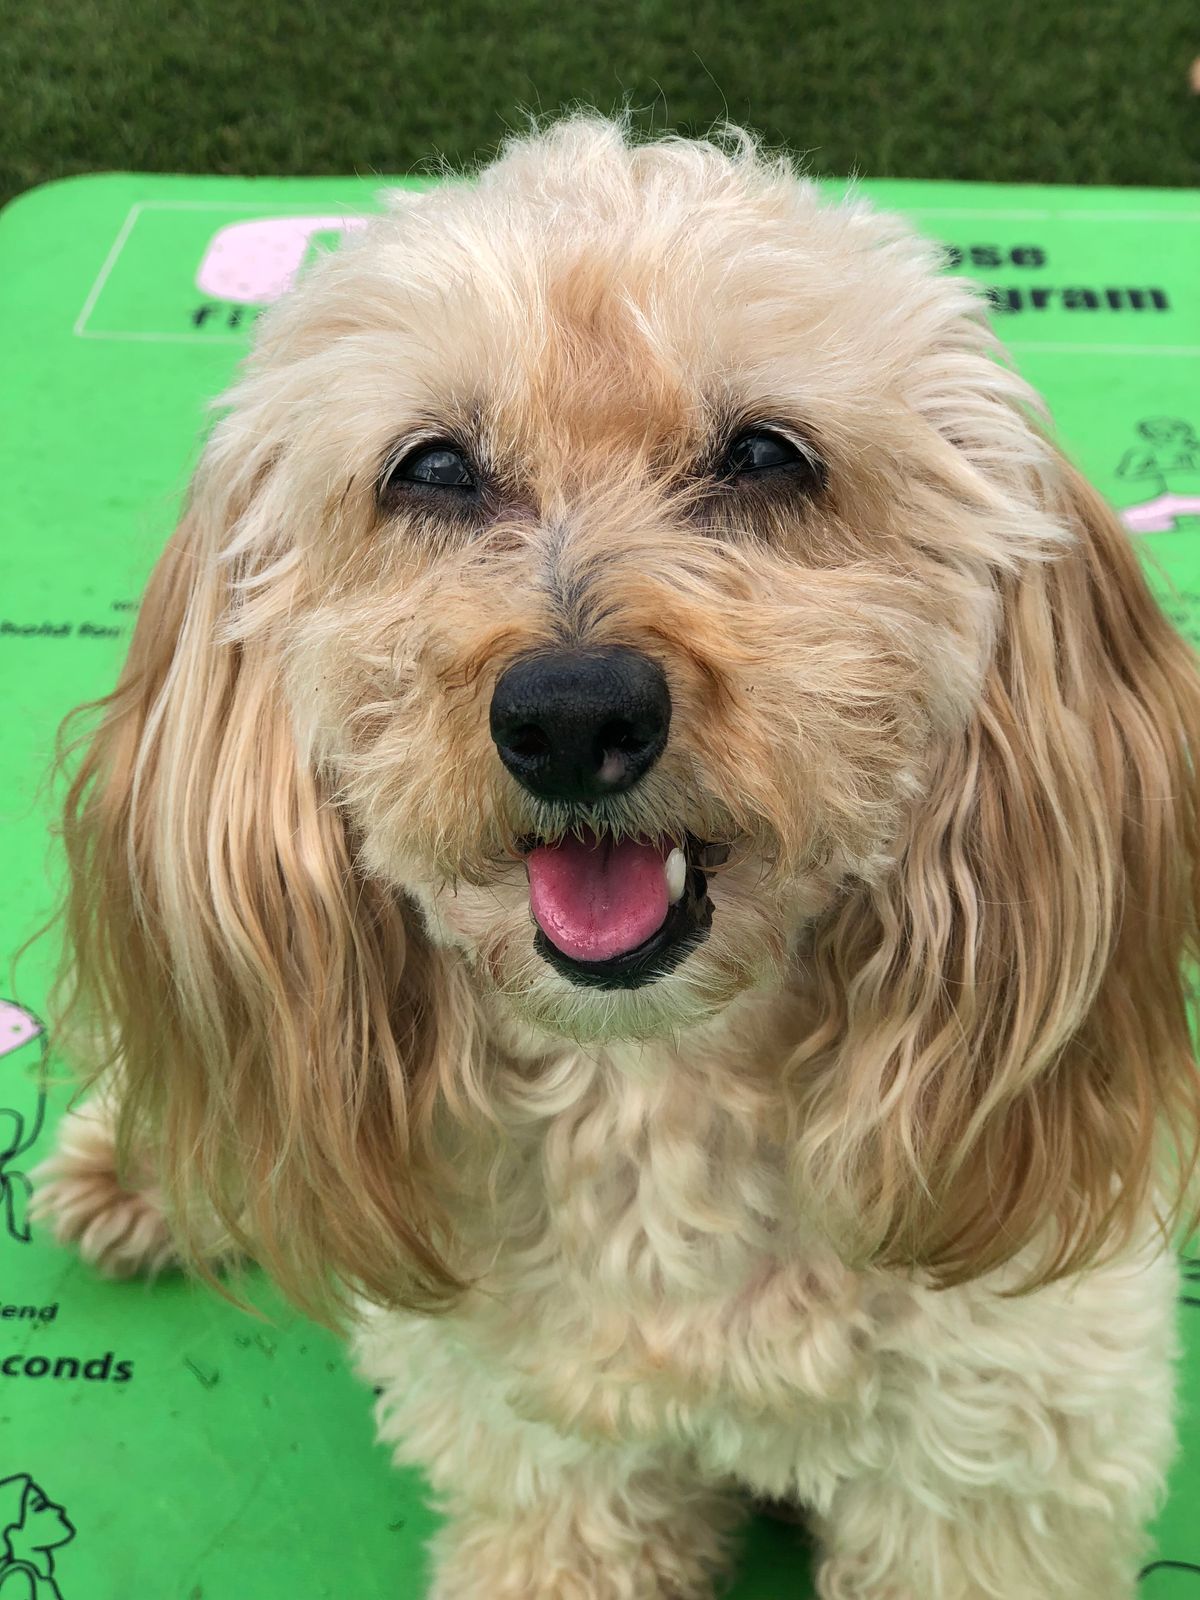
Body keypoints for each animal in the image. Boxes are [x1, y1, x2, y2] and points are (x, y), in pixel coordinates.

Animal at [30, 118, 1200, 1593]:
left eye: (767, 455)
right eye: (431, 467)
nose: (573, 716)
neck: (659, 1088)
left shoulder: (1003, 1464)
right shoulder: (547, 1457)